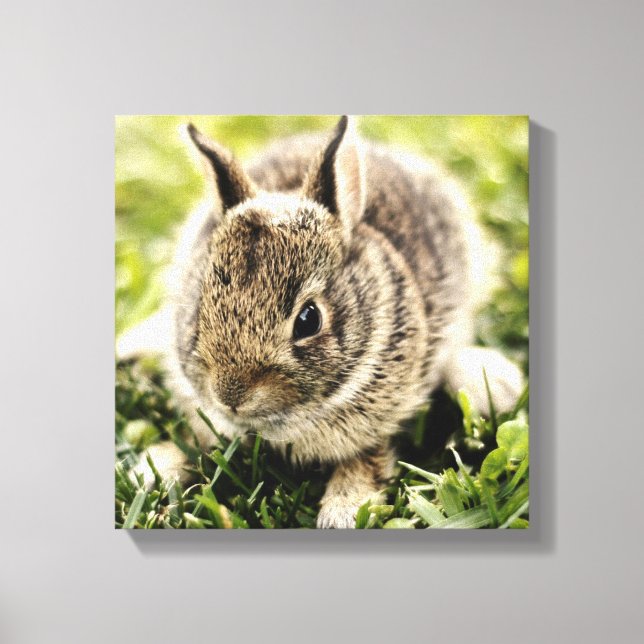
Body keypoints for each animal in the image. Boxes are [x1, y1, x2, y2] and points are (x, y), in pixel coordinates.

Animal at [118, 116, 523, 528]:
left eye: (309, 319)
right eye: (201, 301)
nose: (230, 396)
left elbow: (367, 459)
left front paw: (343, 512)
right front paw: (151, 471)